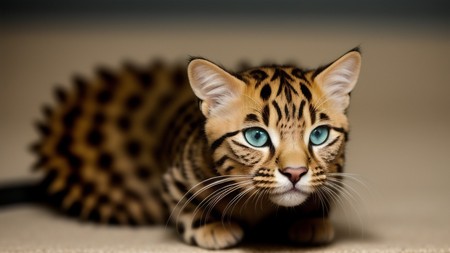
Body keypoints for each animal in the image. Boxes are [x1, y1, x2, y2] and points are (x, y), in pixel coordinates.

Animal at [31, 49, 362, 249]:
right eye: (256, 137)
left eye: (318, 135)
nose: (295, 172)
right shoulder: (174, 177)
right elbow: (185, 206)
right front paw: (210, 226)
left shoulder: (335, 173)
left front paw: (310, 220)